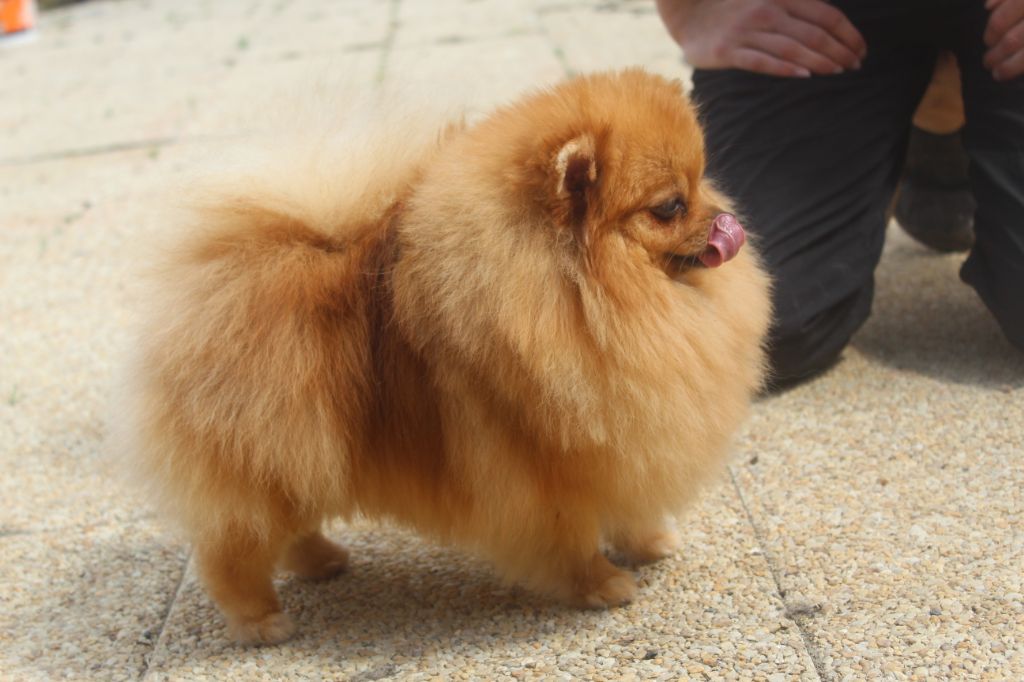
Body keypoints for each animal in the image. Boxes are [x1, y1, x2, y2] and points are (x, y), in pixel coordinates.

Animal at [119, 69, 771, 644]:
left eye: (703, 179)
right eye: (670, 206)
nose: (726, 220)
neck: (590, 295)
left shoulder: (619, 443)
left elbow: (630, 505)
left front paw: (648, 543)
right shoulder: (543, 469)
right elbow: (572, 535)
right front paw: (602, 584)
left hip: (298, 457)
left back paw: (323, 560)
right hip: (265, 455)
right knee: (232, 550)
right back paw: (260, 622)